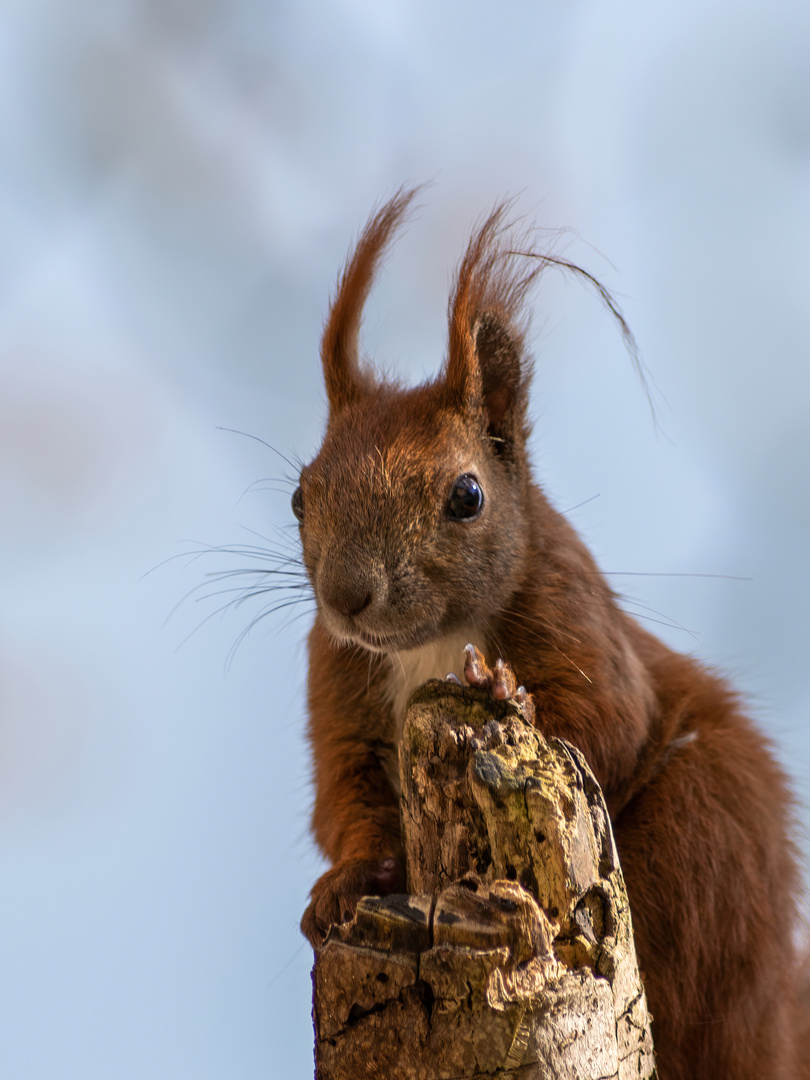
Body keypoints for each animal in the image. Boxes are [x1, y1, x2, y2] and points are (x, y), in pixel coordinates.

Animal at [291, 192, 807, 1080]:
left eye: (467, 495)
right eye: (300, 496)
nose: (347, 596)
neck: (430, 644)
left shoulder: (574, 614)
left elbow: (604, 724)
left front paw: (500, 689)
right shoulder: (342, 678)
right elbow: (346, 797)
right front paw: (347, 884)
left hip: (706, 835)